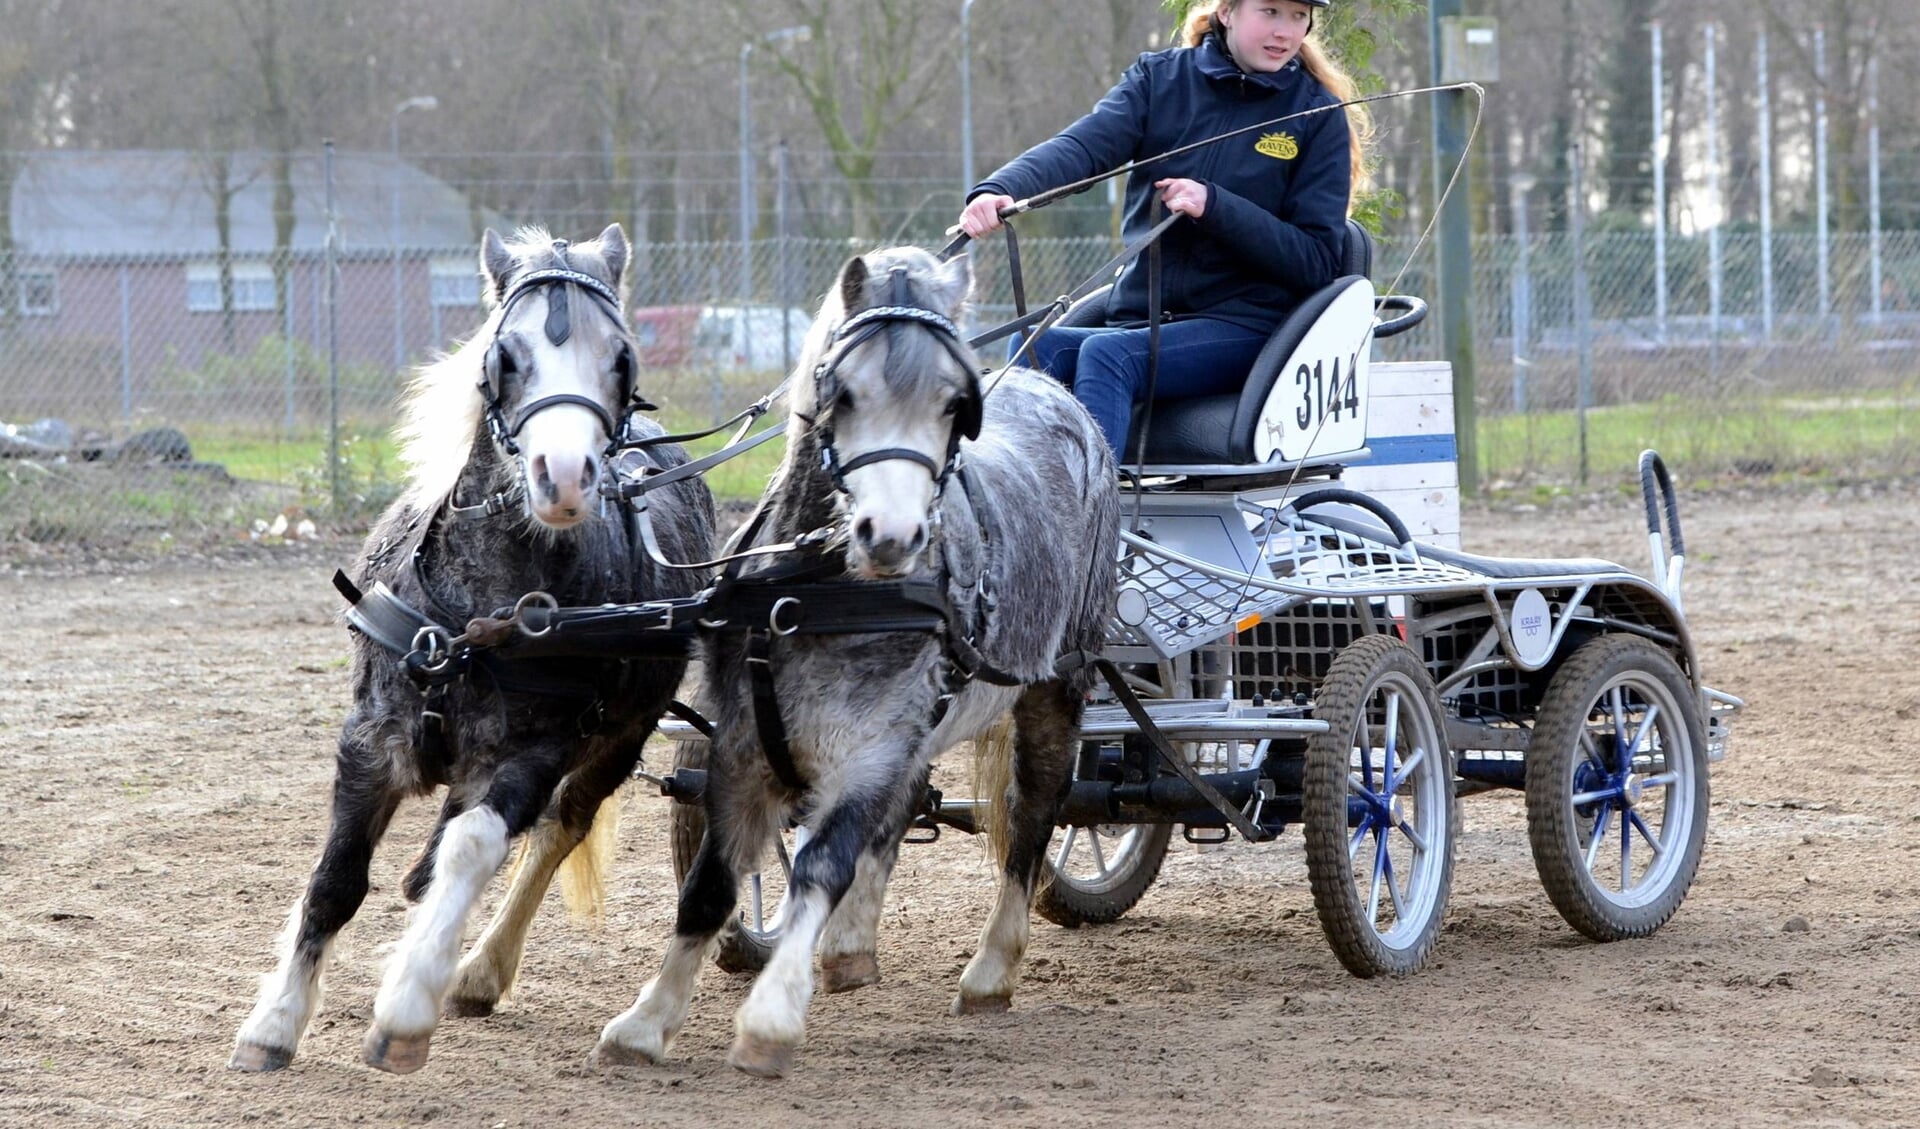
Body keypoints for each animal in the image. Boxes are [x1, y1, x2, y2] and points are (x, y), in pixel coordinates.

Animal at [228, 224, 715, 1075]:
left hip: (621, 733)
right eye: (505, 355)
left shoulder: (531, 752)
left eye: (622, 356)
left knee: (556, 829)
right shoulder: (372, 739)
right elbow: (337, 879)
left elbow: (475, 850)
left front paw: (407, 1006)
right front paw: (276, 1019)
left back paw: (479, 969)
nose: (564, 477)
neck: (478, 614)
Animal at [592, 245, 1120, 1077]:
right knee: (907, 810)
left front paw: (771, 1018)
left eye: (954, 403)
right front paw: (647, 1020)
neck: (817, 591)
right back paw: (849, 948)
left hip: (1056, 685)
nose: (893, 536)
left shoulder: (870, 749)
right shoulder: (739, 744)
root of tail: (1057, 393)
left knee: (1034, 814)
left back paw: (991, 970)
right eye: (843, 391)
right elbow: (711, 883)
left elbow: (819, 867)